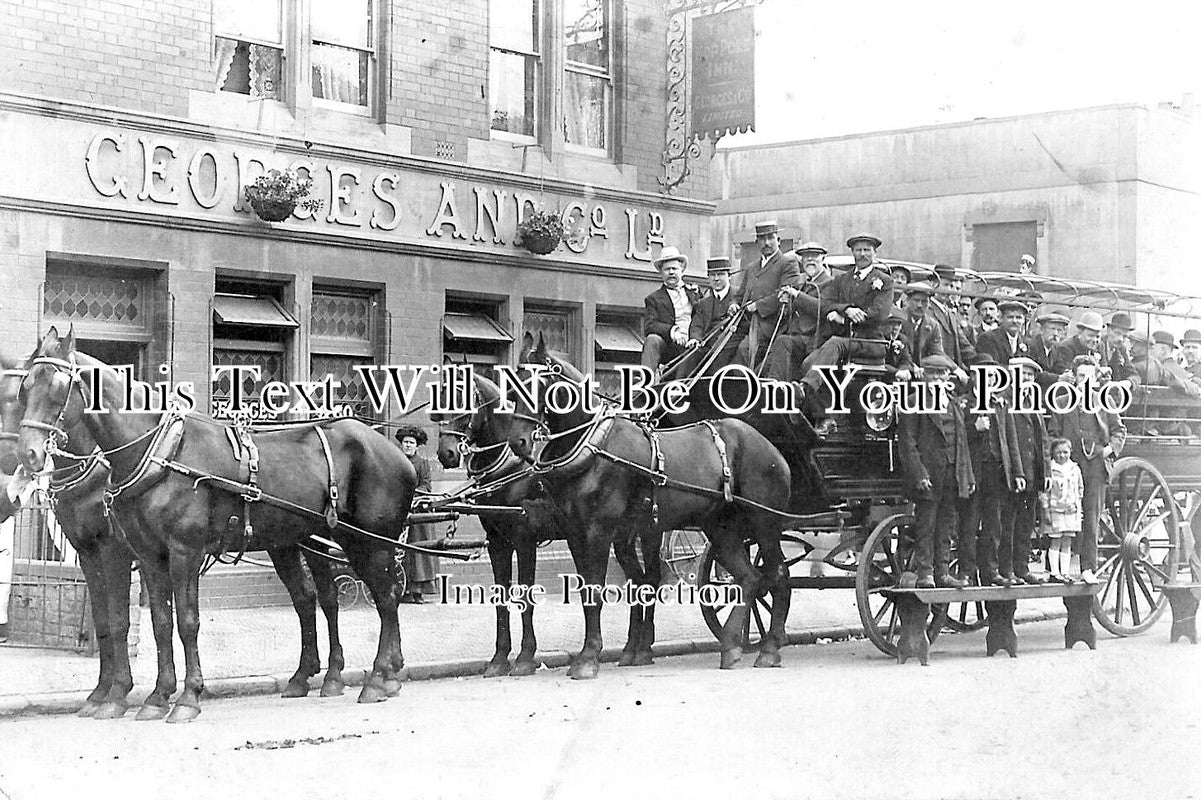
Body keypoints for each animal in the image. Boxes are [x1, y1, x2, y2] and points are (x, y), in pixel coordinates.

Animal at [12, 326, 417, 720]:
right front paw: (152, 696)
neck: (159, 453)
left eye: (58, 388)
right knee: (317, 599)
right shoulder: (135, 555)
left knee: (386, 598)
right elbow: (153, 622)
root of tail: (398, 454)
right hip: (300, 542)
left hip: (370, 542)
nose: (27, 453)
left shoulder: (171, 552)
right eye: (25, 387)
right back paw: (320, 677)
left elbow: (178, 622)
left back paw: (379, 678)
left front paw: (183, 696)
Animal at [432, 372, 562, 672]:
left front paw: (526, 657)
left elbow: (525, 594)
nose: (446, 454)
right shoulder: (497, 543)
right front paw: (500, 658)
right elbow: (501, 597)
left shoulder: (525, 540)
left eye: (463, 398)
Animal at [509, 333, 797, 677]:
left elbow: (597, 590)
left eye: (538, 384)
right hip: (721, 528)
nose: (518, 443)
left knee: (777, 574)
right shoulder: (576, 533)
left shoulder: (599, 531)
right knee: (750, 578)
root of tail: (771, 449)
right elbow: (587, 592)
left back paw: (769, 648)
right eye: (511, 387)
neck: (595, 447)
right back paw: (731, 646)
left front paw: (589, 657)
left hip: (764, 523)